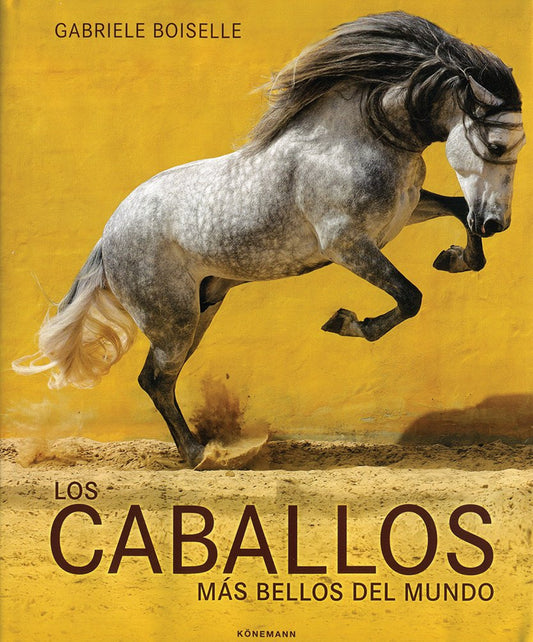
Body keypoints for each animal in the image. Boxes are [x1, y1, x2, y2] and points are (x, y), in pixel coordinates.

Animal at [13, 12, 525, 467]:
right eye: (496, 146)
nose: (498, 223)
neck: (360, 138)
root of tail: (109, 235)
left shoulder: (402, 215)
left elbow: (458, 213)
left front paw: (455, 258)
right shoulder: (348, 244)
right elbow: (410, 296)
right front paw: (345, 322)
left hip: (202, 309)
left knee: (157, 380)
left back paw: (201, 451)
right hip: (173, 320)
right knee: (156, 379)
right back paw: (201, 455)